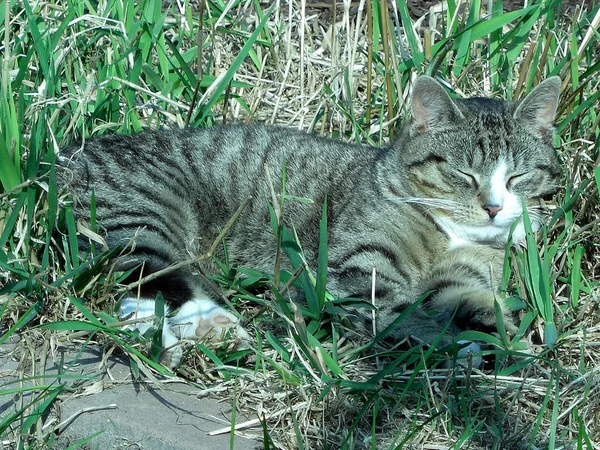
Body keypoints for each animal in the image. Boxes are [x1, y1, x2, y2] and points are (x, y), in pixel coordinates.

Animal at [57, 75, 564, 368]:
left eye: (517, 176)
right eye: (464, 174)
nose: (494, 207)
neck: (453, 236)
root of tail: (71, 152)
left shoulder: (459, 281)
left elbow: (469, 302)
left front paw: (505, 336)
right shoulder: (357, 273)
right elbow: (403, 314)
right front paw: (461, 346)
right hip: (146, 211)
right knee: (149, 278)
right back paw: (204, 326)